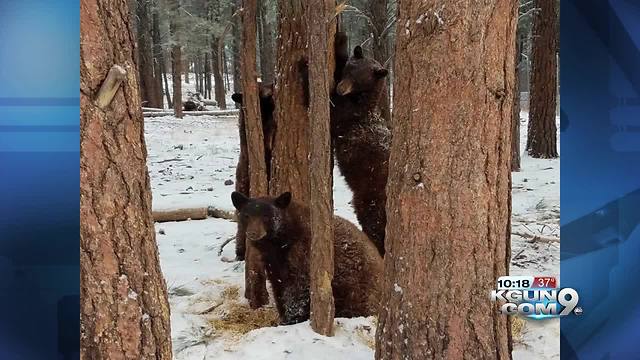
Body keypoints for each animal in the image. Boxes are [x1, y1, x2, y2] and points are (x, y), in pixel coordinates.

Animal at [230, 191, 380, 324]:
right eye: (247, 216)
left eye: (267, 216)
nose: (253, 233)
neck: (281, 242)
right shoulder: (273, 263)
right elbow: (278, 286)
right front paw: (283, 316)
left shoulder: (302, 253)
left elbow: (298, 287)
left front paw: (291, 319)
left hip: (357, 289)